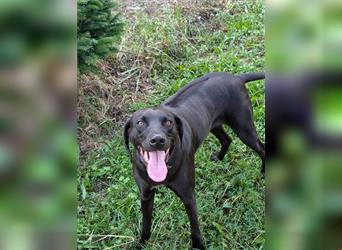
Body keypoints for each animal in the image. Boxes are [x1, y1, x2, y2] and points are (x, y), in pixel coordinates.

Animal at [124, 71, 266, 249]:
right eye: (140, 123)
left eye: (168, 122)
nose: (157, 140)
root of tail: (237, 77)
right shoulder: (146, 195)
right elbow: (146, 224)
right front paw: (142, 243)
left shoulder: (188, 196)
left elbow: (195, 228)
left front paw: (198, 246)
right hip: (214, 125)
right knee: (227, 140)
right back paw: (219, 157)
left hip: (244, 129)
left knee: (262, 149)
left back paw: (264, 172)